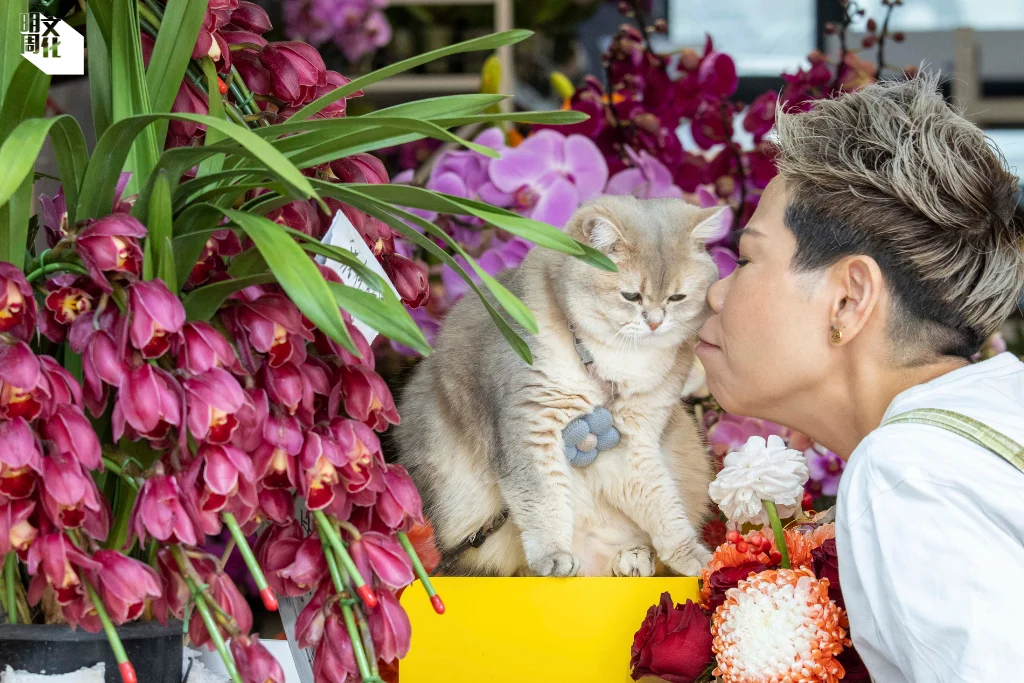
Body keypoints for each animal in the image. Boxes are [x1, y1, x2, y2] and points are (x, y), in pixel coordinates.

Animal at [394, 195, 724, 577]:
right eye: (630, 296)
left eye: (677, 298)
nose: (655, 323)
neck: (610, 361)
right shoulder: (531, 424)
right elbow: (543, 499)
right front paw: (553, 554)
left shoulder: (633, 438)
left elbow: (661, 502)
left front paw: (691, 554)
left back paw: (634, 557)